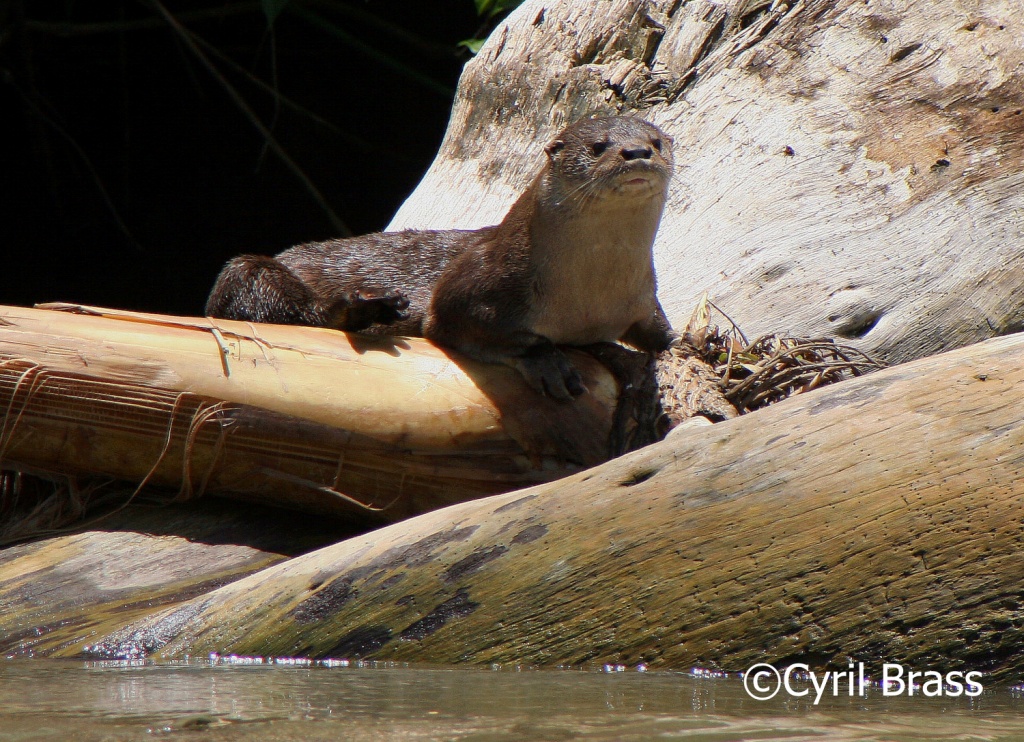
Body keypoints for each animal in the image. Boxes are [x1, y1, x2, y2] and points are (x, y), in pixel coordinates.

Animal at [204, 114, 675, 399]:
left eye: (656, 141)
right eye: (598, 145)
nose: (637, 153)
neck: (590, 295)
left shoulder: (640, 298)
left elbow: (658, 333)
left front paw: (672, 345)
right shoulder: (480, 286)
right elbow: (471, 325)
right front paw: (547, 361)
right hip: (249, 272)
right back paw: (363, 308)